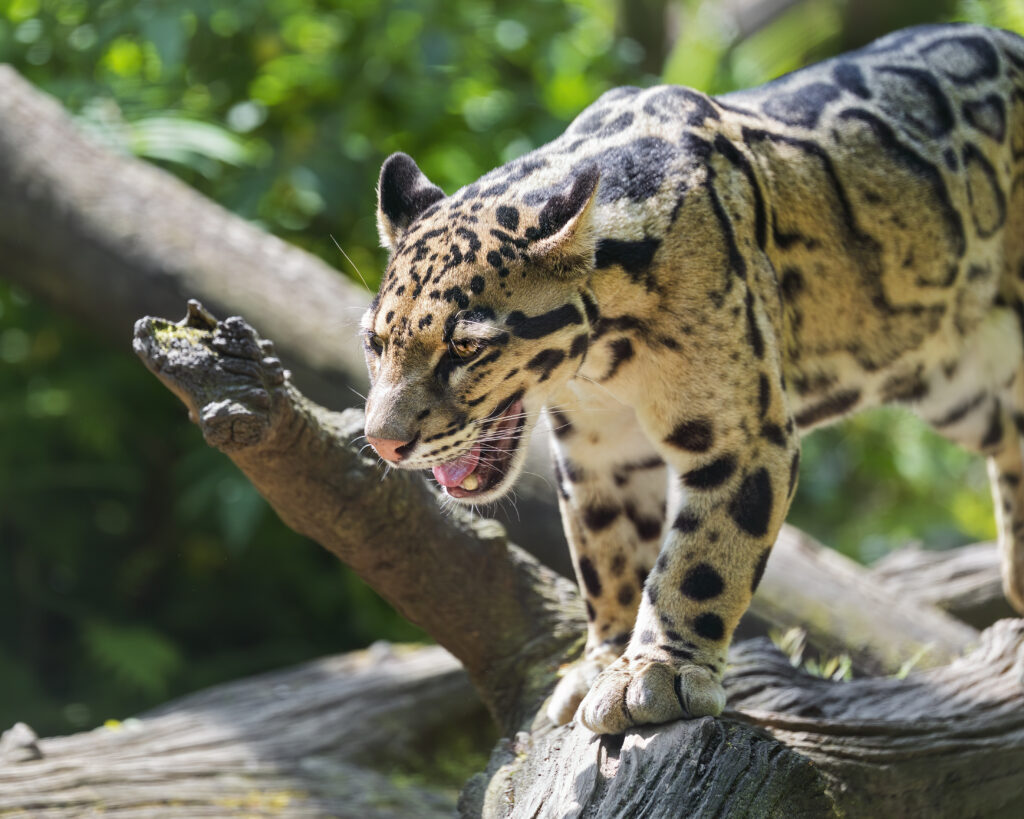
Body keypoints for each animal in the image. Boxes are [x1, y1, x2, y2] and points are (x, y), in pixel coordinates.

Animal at [360, 22, 1024, 735]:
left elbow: (698, 561)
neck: (601, 361)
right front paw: (602, 661)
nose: (383, 443)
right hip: (967, 389)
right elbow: (607, 556)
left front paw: (657, 673)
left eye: (465, 346)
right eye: (374, 342)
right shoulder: (600, 454)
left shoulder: (743, 435)